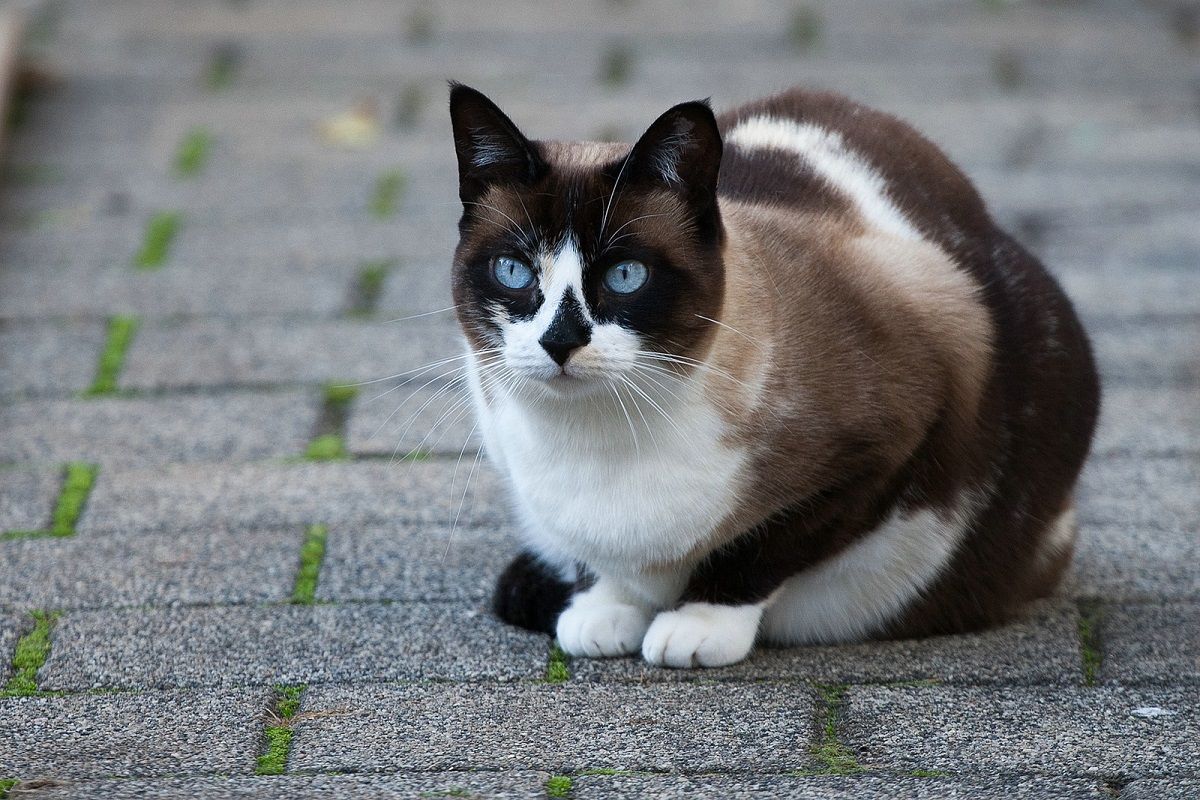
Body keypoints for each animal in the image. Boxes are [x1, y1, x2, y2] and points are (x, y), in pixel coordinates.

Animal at [448, 82, 1099, 671]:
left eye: (626, 276)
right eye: (512, 270)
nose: (559, 342)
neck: (595, 441)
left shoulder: (884, 449)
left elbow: (762, 548)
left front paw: (697, 625)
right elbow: (595, 562)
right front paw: (604, 608)